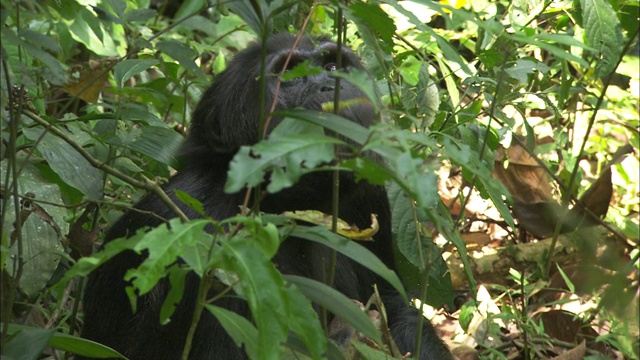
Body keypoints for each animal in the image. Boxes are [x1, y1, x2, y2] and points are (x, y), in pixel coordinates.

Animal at [81, 33, 456, 358]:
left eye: (332, 64)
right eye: (289, 74)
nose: (330, 82)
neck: (286, 204)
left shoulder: (368, 196)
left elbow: (394, 304)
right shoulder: (196, 233)